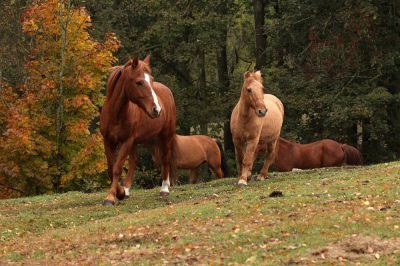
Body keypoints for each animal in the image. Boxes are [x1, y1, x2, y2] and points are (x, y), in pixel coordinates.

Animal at [99, 55, 176, 206]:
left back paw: (164, 189)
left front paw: (111, 197)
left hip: (166, 134)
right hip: (135, 142)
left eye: (151, 80)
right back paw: (127, 190)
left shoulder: (126, 141)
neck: (116, 114)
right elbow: (111, 168)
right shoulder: (108, 141)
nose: (157, 109)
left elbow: (117, 168)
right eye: (139, 82)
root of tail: (166, 90)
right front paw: (120, 192)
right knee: (133, 161)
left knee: (165, 158)